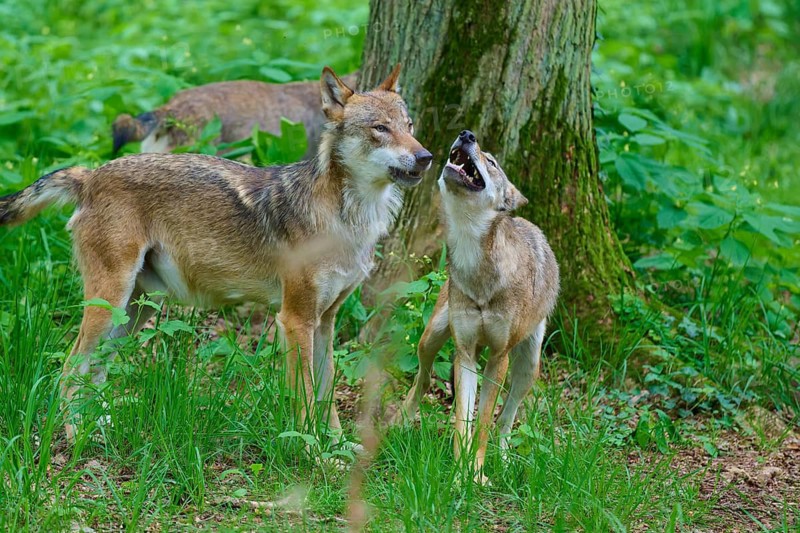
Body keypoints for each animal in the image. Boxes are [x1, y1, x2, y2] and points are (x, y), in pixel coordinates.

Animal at [396, 130, 560, 483]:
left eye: (492, 162)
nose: (467, 134)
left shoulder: (498, 358)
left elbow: (483, 423)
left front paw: (476, 473)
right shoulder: (466, 354)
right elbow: (463, 422)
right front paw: (462, 475)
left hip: (528, 367)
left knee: (506, 421)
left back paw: (506, 460)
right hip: (431, 338)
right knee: (423, 379)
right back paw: (397, 422)